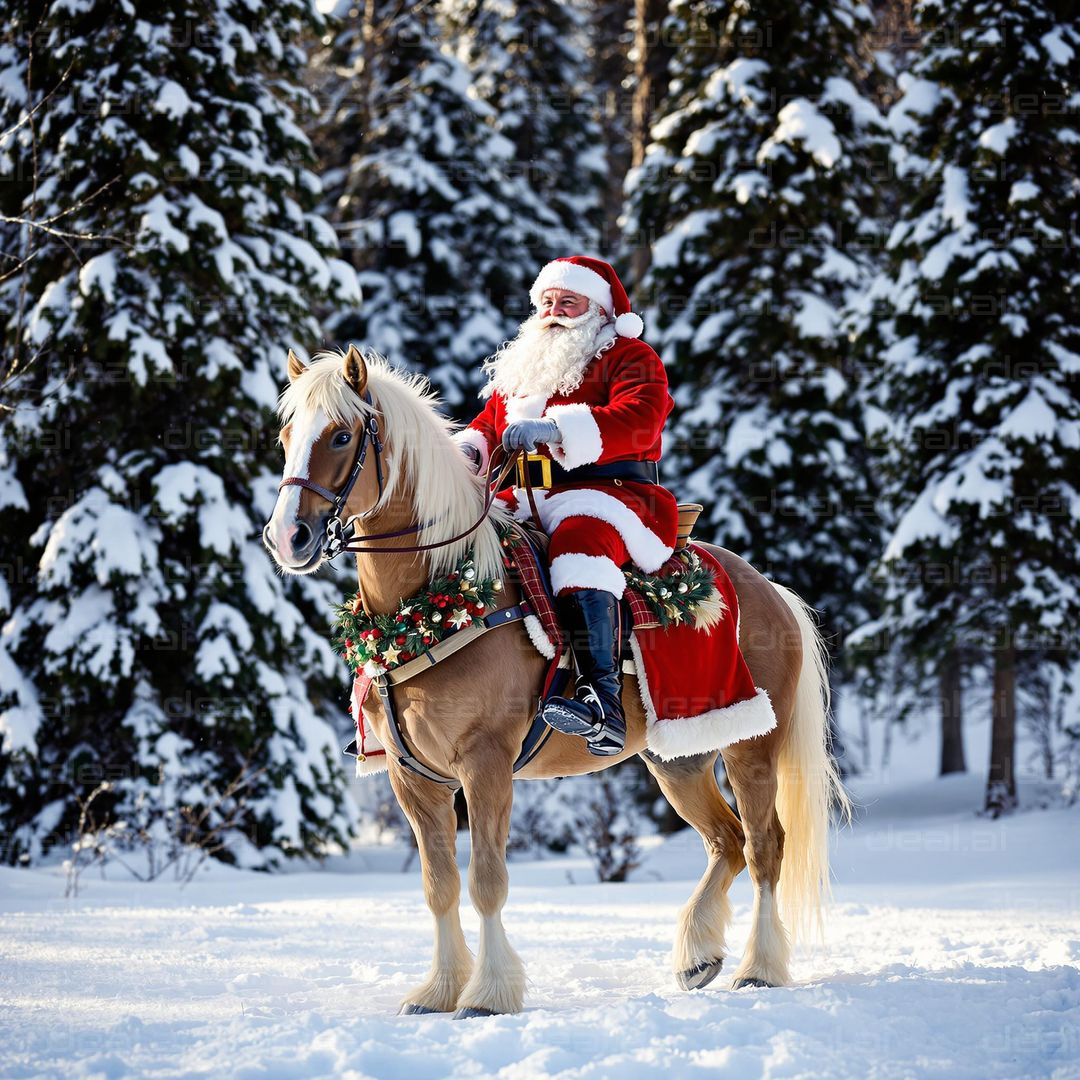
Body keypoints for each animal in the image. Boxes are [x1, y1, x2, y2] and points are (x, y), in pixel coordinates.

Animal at [263, 347, 851, 1019]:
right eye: (286, 437)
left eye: (340, 435)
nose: (287, 537)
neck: (430, 600)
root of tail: (769, 589)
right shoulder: (414, 778)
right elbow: (439, 886)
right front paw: (439, 989)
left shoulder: (485, 764)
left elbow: (486, 881)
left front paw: (488, 992)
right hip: (676, 758)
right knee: (725, 842)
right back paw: (698, 954)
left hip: (750, 746)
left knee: (763, 847)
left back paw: (760, 966)